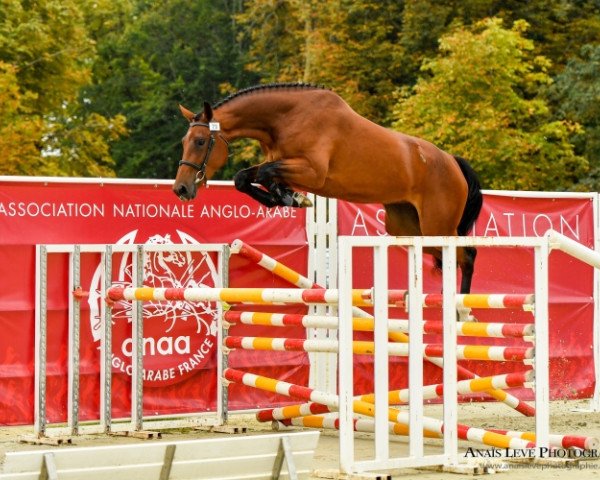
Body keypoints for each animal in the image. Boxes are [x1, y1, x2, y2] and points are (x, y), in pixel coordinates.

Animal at [173, 82, 482, 292]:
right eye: (184, 141)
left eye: (200, 141)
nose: (181, 189)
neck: (285, 118)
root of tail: (453, 162)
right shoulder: (281, 163)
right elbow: (245, 177)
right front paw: (284, 197)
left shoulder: (313, 172)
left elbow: (265, 173)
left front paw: (292, 197)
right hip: (407, 227)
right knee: (450, 257)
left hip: (437, 225)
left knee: (467, 256)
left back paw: (461, 310)